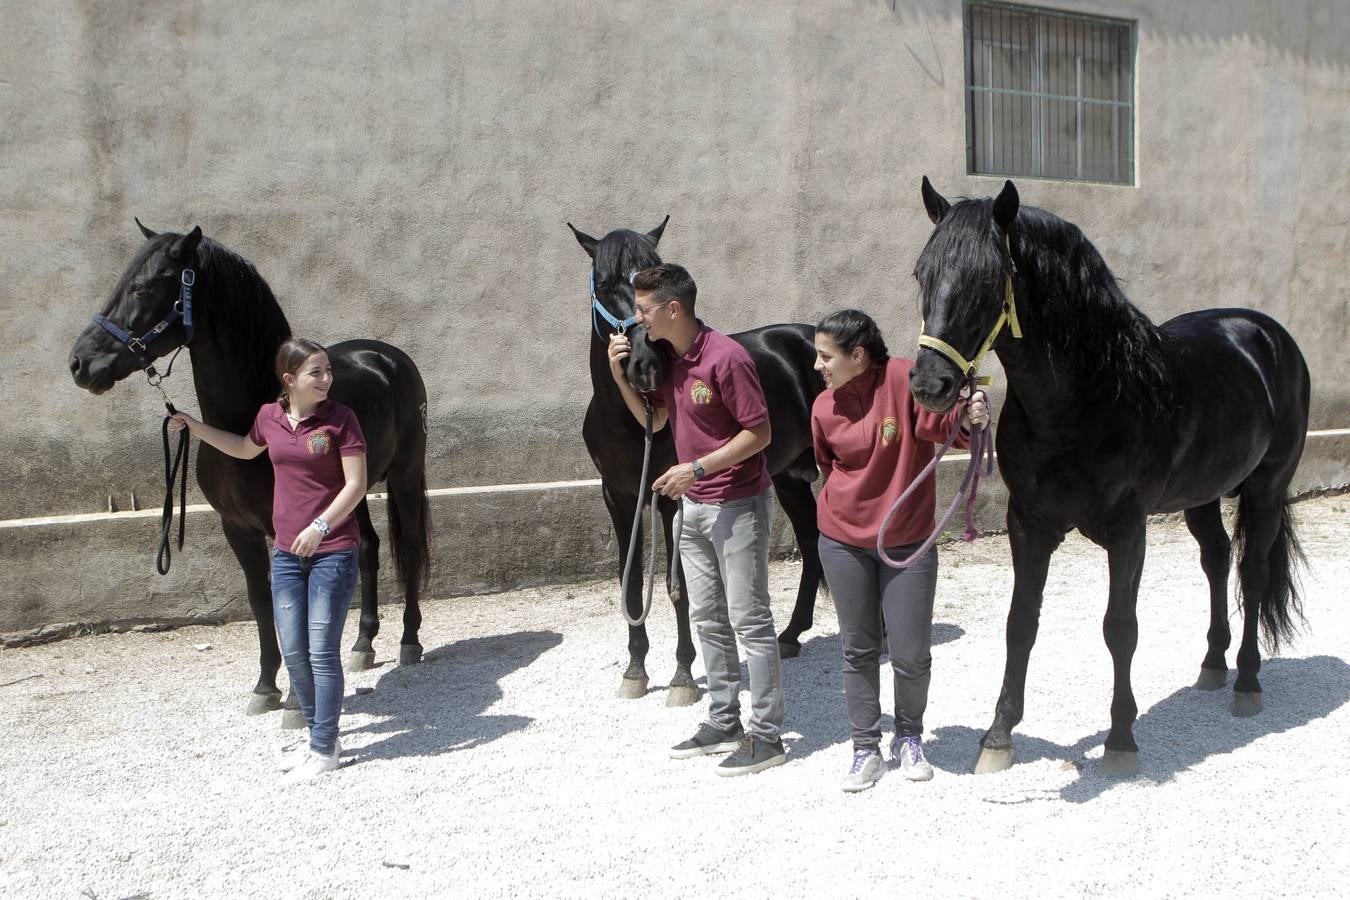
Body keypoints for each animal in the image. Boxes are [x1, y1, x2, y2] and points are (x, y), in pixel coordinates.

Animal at [69, 225, 432, 723]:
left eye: (142, 288)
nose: (79, 363)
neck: (249, 420)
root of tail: (387, 357)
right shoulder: (237, 529)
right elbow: (263, 602)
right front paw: (265, 687)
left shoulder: (290, 530)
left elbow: (293, 605)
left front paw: (297, 698)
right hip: (350, 496)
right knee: (368, 547)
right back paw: (362, 643)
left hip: (405, 473)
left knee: (410, 547)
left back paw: (410, 642)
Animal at [567, 218, 820, 701]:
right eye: (605, 283)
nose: (646, 366)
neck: (631, 419)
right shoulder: (619, 499)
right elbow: (631, 587)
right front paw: (635, 669)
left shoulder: (672, 499)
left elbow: (680, 586)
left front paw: (683, 674)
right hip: (790, 478)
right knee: (813, 540)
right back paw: (791, 635)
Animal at [907, 178, 1306, 777]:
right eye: (922, 274)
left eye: (988, 280)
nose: (930, 384)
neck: (1091, 397)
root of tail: (1266, 334)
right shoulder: (1029, 526)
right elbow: (1020, 623)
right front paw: (997, 737)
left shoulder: (1127, 532)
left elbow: (1120, 629)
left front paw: (1121, 740)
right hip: (1203, 495)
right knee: (1216, 561)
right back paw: (1214, 664)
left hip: (1266, 489)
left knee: (1252, 573)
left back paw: (1248, 682)